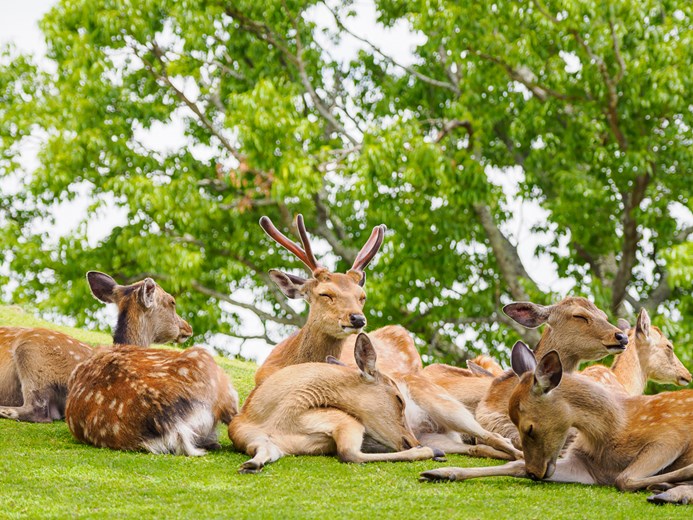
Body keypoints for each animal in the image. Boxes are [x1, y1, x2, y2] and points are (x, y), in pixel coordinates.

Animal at [258, 214, 521, 460]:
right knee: (483, 445)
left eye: (362, 296)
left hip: (445, 404)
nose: (357, 319)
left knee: (495, 436)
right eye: (325, 294)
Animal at [419, 341, 693, 506]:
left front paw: (672, 479)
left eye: (529, 427)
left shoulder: (669, 436)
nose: (534, 472)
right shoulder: (585, 467)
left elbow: (623, 478)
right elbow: (514, 464)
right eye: (512, 422)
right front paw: (440, 472)